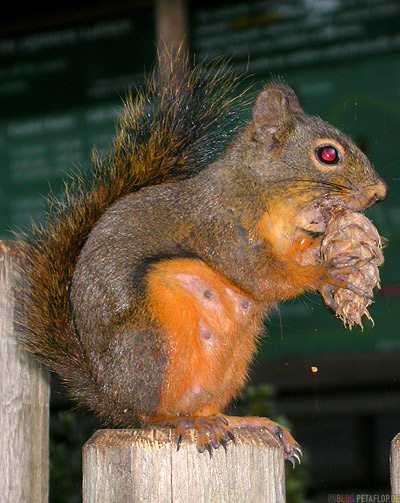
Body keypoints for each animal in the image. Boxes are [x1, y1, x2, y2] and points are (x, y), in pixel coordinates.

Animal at [14, 55, 386, 464]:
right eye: (327, 154)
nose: (380, 192)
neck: (264, 194)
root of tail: (109, 396)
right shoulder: (219, 225)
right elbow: (259, 276)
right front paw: (328, 272)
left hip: (231, 363)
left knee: (205, 407)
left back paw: (246, 422)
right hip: (148, 344)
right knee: (148, 413)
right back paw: (178, 421)